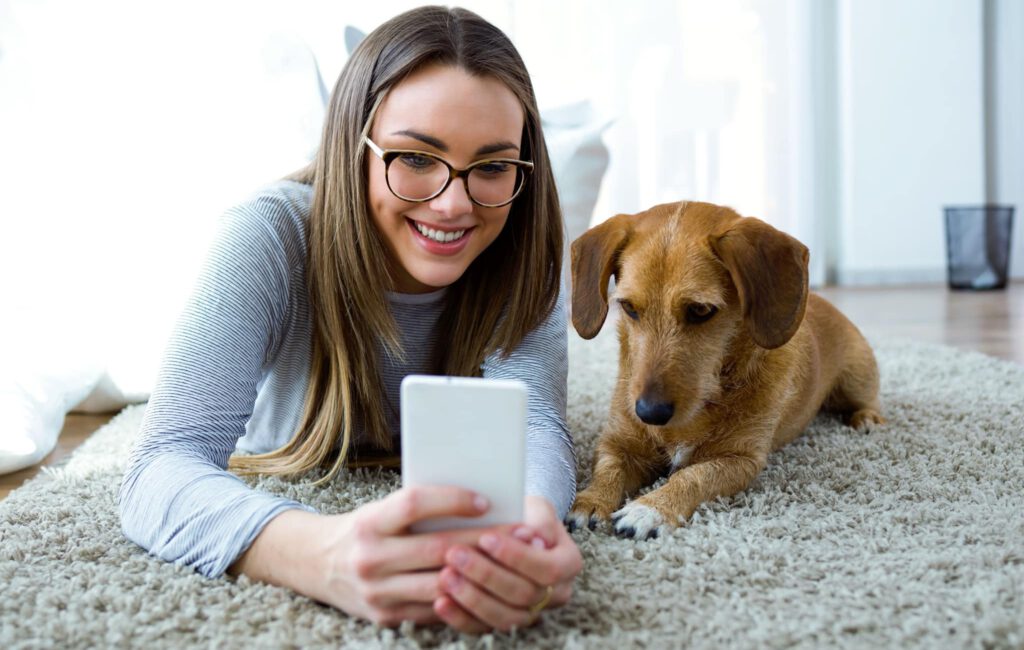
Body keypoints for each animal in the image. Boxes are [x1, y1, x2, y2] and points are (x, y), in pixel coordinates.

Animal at [565, 199, 884, 540]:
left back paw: (868, 418)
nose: (649, 413)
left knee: (868, 399)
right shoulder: (618, 444)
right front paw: (590, 501)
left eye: (700, 310)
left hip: (855, 379)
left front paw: (651, 508)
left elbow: (692, 476)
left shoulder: (739, 461)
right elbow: (608, 470)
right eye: (628, 307)